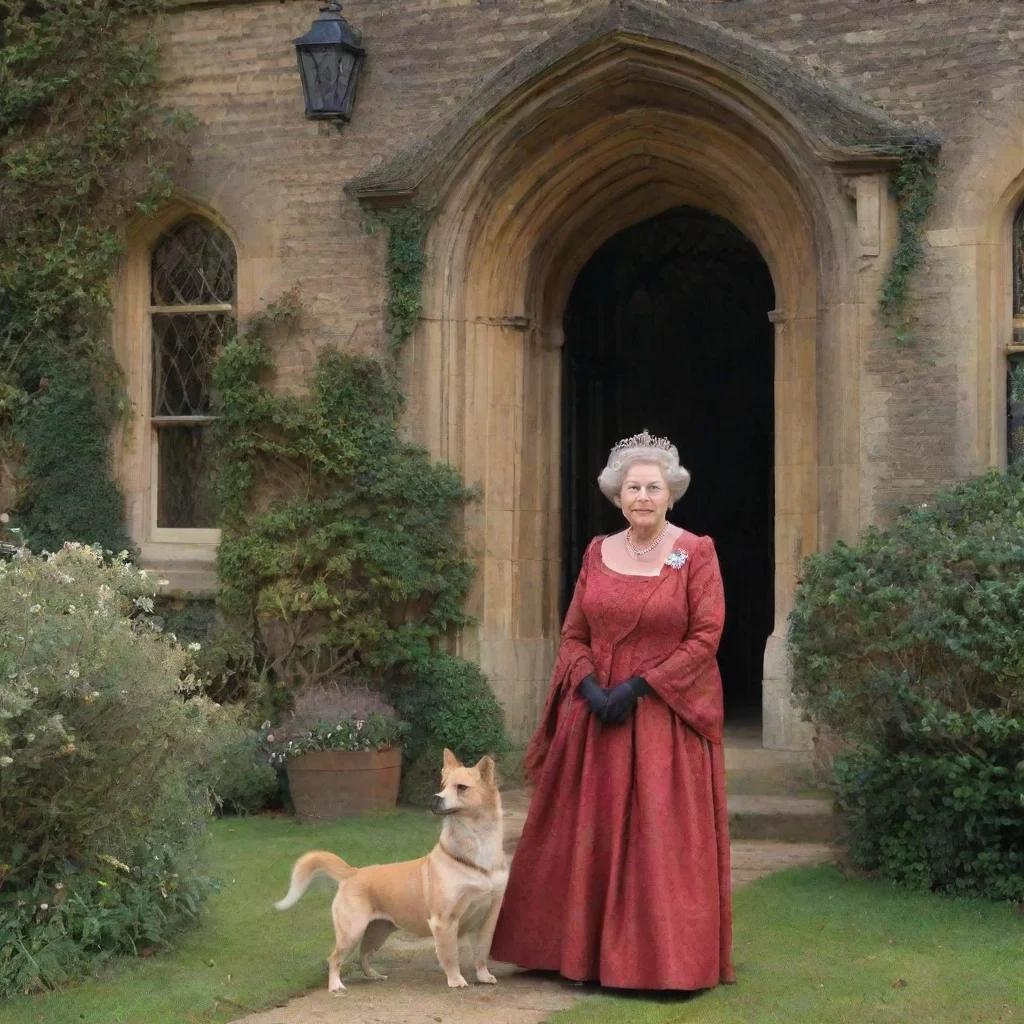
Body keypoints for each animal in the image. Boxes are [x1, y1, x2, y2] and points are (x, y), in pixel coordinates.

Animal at [276, 745, 507, 991]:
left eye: (461, 787)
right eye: (443, 786)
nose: (434, 799)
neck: (475, 847)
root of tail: (352, 873)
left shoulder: (489, 918)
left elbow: (481, 952)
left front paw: (484, 976)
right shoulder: (444, 922)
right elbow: (450, 955)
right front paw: (456, 981)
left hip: (377, 932)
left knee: (363, 955)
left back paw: (374, 975)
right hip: (352, 931)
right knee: (335, 958)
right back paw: (336, 985)